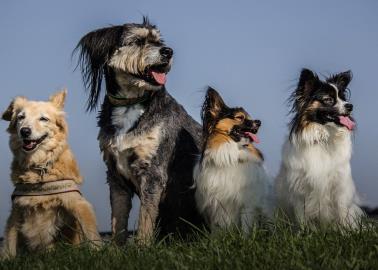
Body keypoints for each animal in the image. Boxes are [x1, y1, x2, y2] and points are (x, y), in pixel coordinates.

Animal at [1, 90, 100, 258]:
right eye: (21, 117)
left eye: (43, 118)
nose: (24, 131)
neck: (39, 166)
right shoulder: (16, 210)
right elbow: (9, 242)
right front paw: (7, 259)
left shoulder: (78, 203)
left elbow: (91, 232)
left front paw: (99, 252)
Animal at [74, 17, 204, 244]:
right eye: (137, 41)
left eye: (159, 42)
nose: (168, 51)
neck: (131, 104)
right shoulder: (115, 174)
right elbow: (118, 219)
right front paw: (117, 248)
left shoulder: (153, 171)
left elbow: (145, 217)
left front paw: (143, 246)